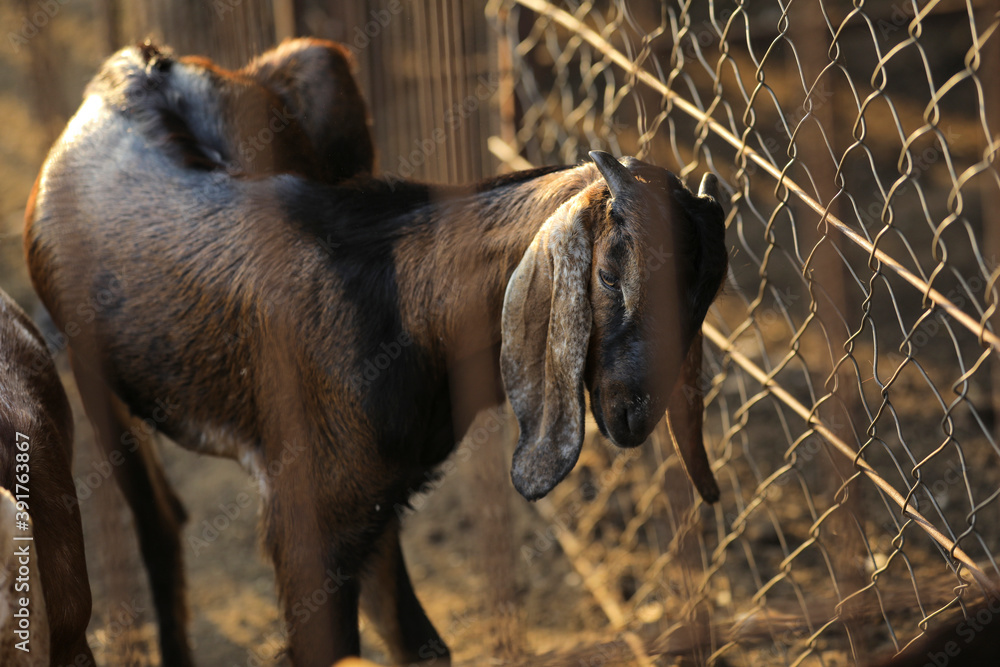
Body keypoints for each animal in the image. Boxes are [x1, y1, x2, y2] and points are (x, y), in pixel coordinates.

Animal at [25, 45, 728, 667]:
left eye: (704, 298)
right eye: (609, 275)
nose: (633, 414)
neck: (404, 305)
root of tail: (136, 64)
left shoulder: (372, 494)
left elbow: (420, 644)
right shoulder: (308, 517)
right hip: (92, 373)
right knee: (156, 521)